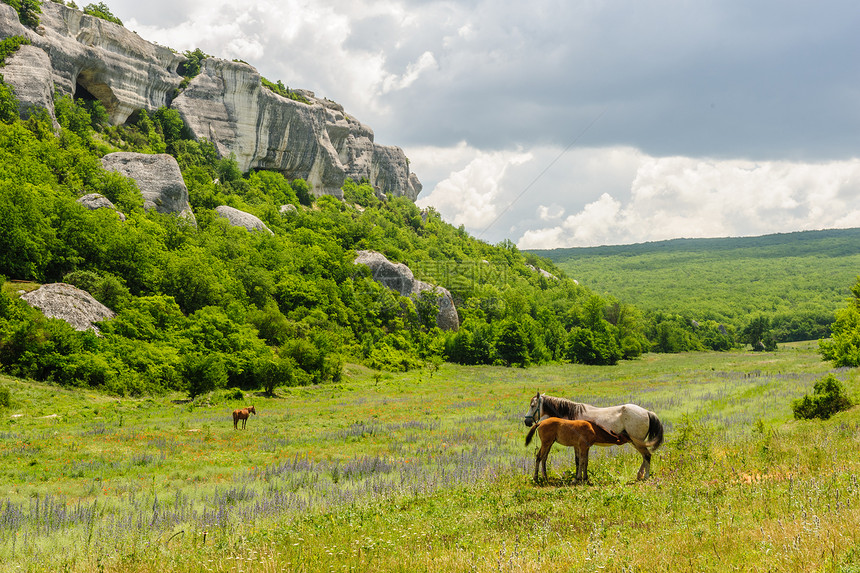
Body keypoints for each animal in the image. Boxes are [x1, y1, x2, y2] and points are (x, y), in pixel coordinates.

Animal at [520, 394, 660, 478]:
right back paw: (639, 475)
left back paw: (645, 476)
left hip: (637, 441)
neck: (572, 414)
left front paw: (578, 478)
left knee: (647, 456)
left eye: (533, 406)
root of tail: (647, 412)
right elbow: (579, 461)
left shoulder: (578, 445)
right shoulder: (579, 445)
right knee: (645, 456)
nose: (527, 421)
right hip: (635, 442)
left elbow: (578, 461)